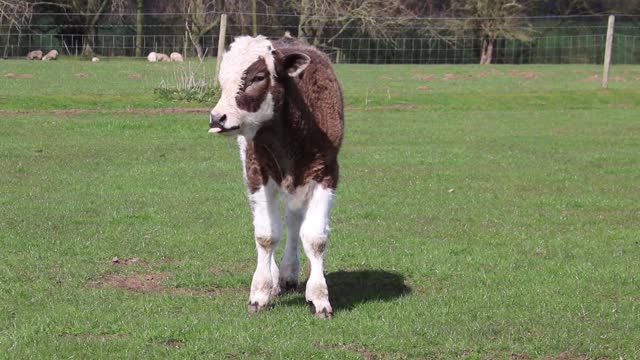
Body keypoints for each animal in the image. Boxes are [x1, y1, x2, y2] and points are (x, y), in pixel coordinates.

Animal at [208, 35, 342, 318]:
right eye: (223, 79)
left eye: (258, 77)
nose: (216, 118)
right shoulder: (256, 171)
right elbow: (266, 235)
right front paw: (260, 292)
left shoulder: (327, 173)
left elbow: (315, 238)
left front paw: (319, 297)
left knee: (293, 221)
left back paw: (289, 273)